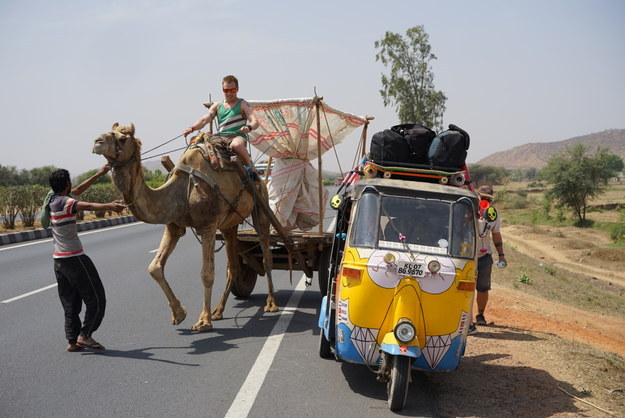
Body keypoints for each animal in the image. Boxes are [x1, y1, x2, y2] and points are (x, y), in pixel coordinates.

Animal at [91, 122, 276, 332]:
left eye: (122, 138)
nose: (97, 142)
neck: (181, 191)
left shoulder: (208, 226)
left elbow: (207, 273)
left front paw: (203, 321)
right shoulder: (173, 226)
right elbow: (154, 267)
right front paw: (179, 313)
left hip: (260, 206)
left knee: (266, 255)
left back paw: (271, 303)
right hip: (230, 224)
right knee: (234, 266)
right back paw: (218, 310)